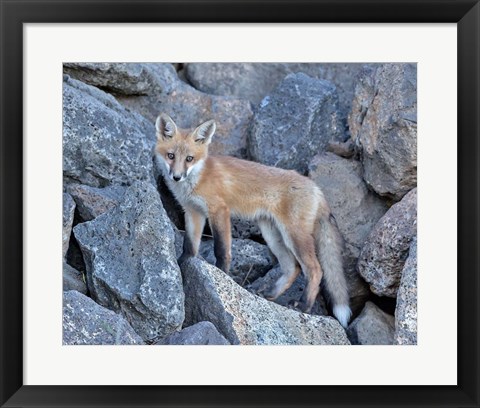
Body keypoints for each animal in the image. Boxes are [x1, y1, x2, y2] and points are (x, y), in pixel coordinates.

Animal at [155, 112, 352, 328]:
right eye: (171, 156)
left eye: (189, 159)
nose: (176, 177)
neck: (198, 178)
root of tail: (316, 187)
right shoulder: (193, 212)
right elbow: (189, 247)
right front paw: (180, 266)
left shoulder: (219, 211)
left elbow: (222, 251)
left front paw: (221, 276)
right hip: (272, 234)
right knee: (292, 268)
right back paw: (270, 294)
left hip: (294, 235)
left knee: (315, 269)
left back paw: (304, 306)